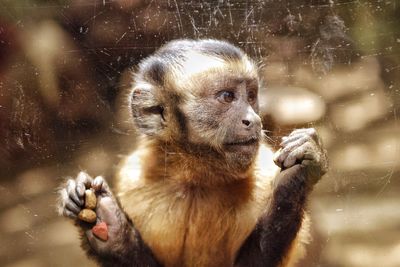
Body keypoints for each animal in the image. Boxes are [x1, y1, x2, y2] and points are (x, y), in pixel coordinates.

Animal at [57, 38, 326, 267]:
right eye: (227, 96)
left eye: (251, 96)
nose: (253, 120)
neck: (196, 178)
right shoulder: (135, 179)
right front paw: (109, 223)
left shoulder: (262, 175)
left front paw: (294, 177)